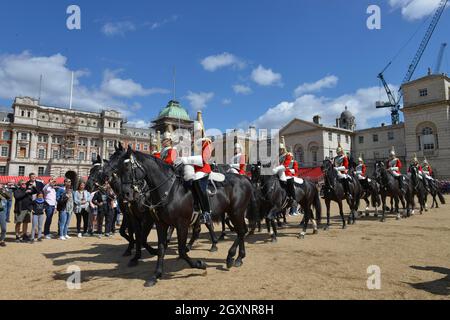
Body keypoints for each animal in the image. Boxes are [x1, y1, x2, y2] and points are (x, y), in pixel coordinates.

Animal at [118, 146, 255, 286]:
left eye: (128, 168)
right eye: (118, 171)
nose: (125, 195)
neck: (170, 191)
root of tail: (244, 179)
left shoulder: (181, 224)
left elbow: (182, 250)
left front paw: (200, 264)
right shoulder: (161, 224)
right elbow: (161, 248)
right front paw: (155, 275)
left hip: (236, 212)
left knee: (241, 231)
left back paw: (230, 256)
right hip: (234, 213)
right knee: (241, 231)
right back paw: (239, 258)